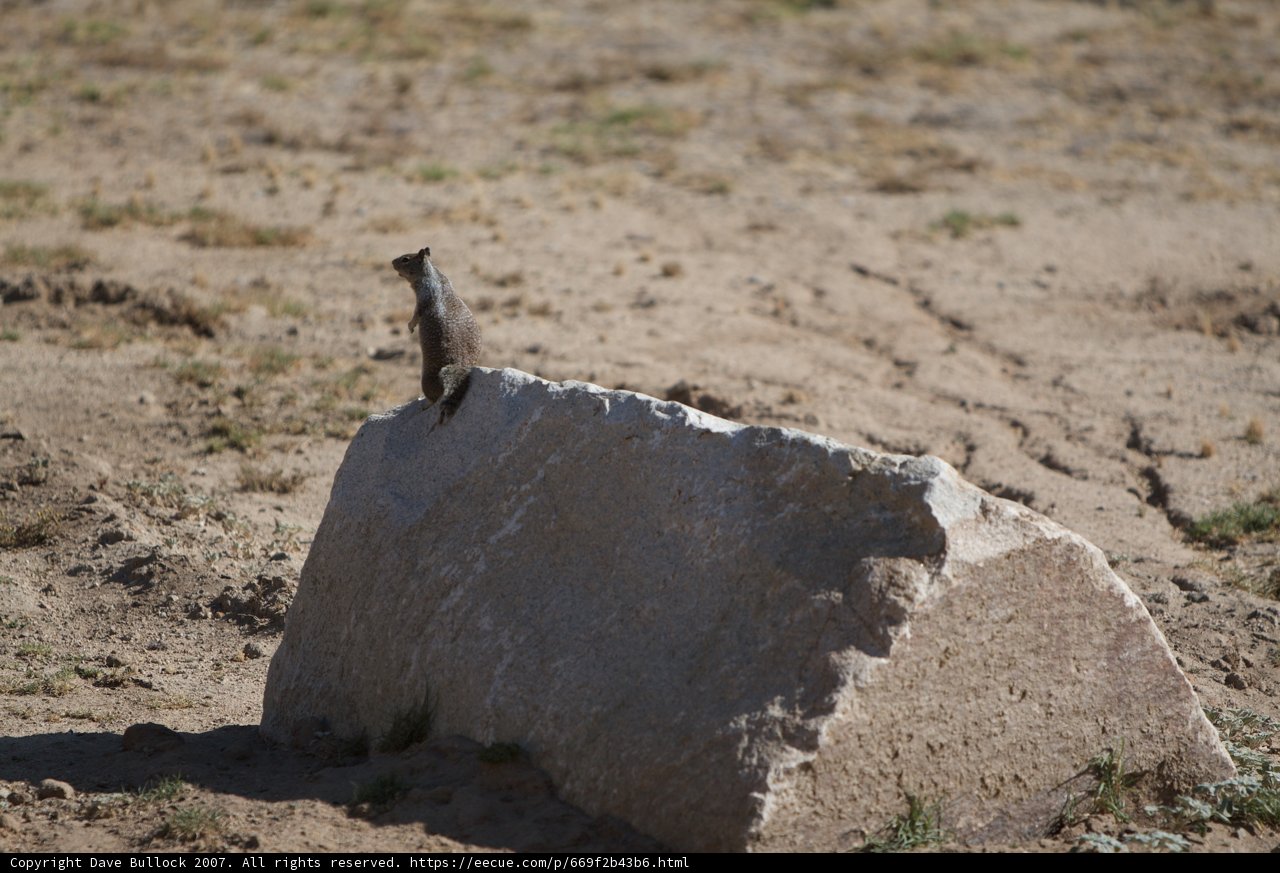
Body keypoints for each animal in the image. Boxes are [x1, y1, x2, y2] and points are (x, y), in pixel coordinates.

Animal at [392, 246, 482, 423]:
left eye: (405, 259)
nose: (392, 262)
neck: (433, 275)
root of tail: (460, 366)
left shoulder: (423, 298)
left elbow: (416, 314)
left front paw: (410, 327)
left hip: (425, 380)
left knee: (434, 398)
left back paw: (425, 404)